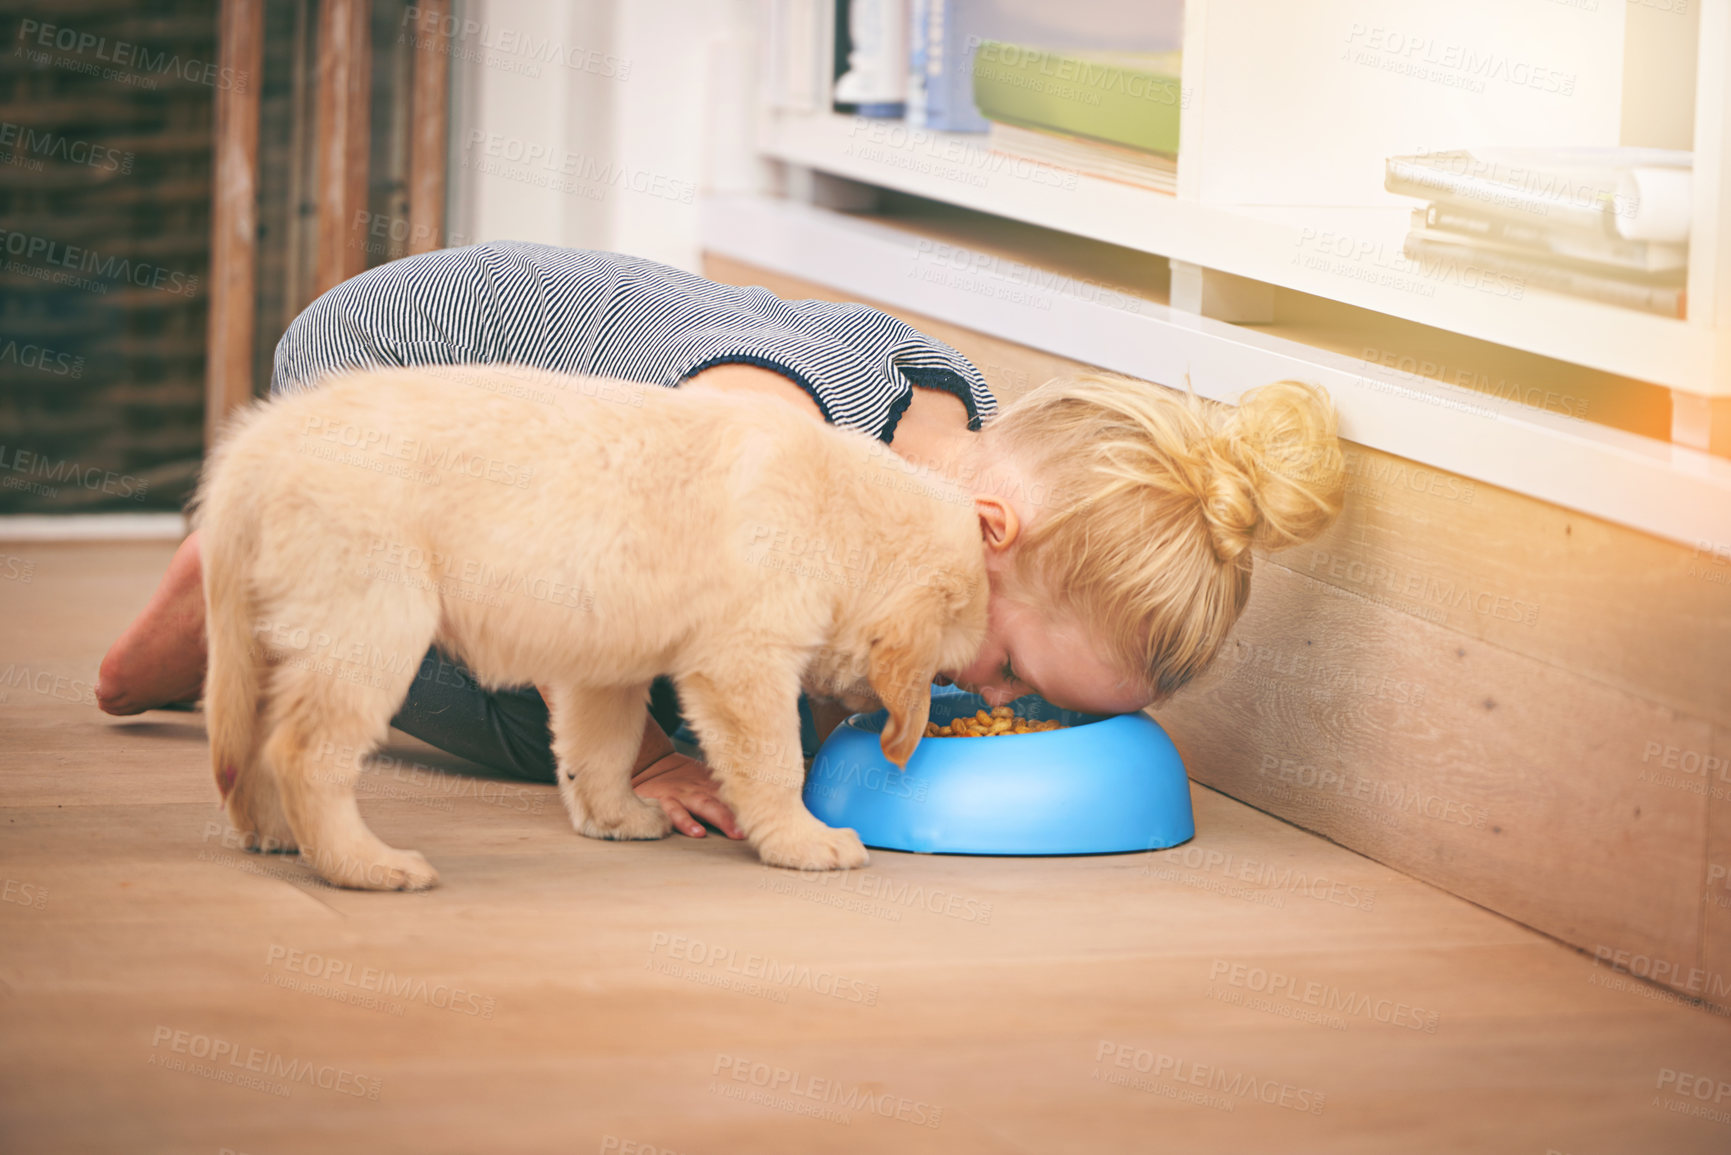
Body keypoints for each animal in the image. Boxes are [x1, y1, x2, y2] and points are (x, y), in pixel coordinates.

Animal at [194, 365, 990, 893]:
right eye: (946, 675)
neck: (839, 514)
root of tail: (256, 448)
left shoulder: (606, 662)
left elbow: (599, 749)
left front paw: (617, 817)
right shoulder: (743, 662)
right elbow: (773, 763)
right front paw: (803, 841)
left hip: (268, 631)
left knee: (250, 736)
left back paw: (271, 831)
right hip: (372, 620)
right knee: (304, 751)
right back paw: (364, 864)